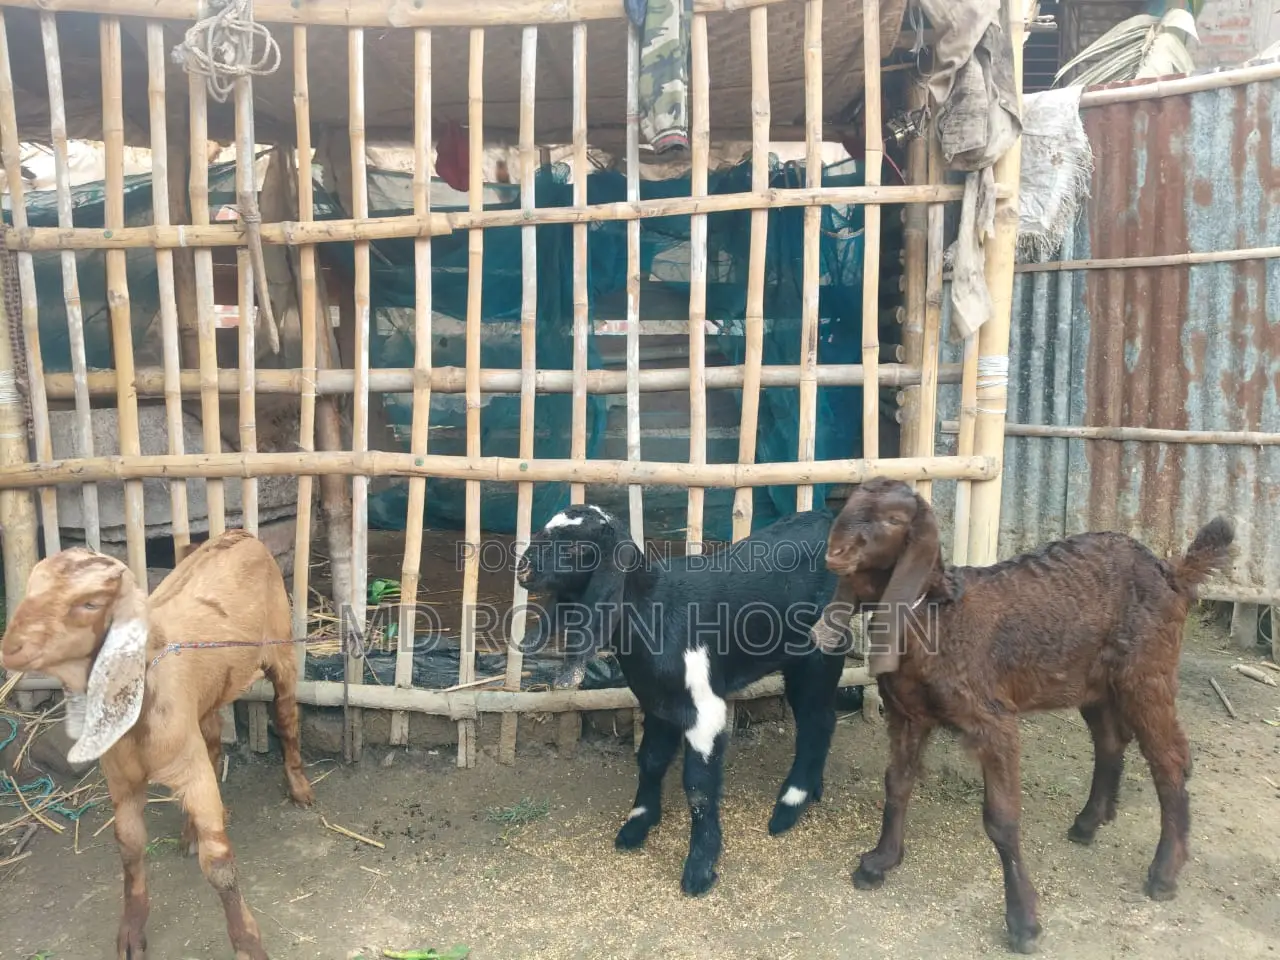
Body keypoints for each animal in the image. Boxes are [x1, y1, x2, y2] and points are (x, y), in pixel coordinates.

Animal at [1, 529, 314, 960]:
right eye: (31, 587)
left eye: (90, 603)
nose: (10, 647)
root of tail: (239, 533)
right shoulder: (122, 781)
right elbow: (130, 850)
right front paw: (131, 933)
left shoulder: (191, 772)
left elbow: (220, 866)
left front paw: (249, 943)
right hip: (206, 695)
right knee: (213, 738)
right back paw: (190, 830)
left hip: (280, 647)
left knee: (286, 717)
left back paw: (299, 788)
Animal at [515, 503, 848, 896]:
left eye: (576, 547)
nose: (523, 567)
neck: (654, 610)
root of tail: (828, 517)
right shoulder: (657, 702)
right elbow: (651, 760)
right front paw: (638, 823)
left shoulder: (706, 710)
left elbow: (699, 786)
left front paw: (700, 866)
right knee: (821, 718)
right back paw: (812, 791)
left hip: (820, 652)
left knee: (816, 720)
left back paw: (789, 806)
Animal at [810, 477, 1234, 954]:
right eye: (848, 504)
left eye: (893, 519)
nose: (836, 552)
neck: (937, 615)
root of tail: (1172, 571)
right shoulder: (907, 714)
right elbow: (897, 785)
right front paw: (880, 861)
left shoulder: (993, 722)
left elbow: (1001, 819)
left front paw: (1023, 922)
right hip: (1093, 681)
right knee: (1110, 739)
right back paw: (1089, 822)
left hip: (1147, 673)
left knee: (1170, 760)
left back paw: (1164, 872)